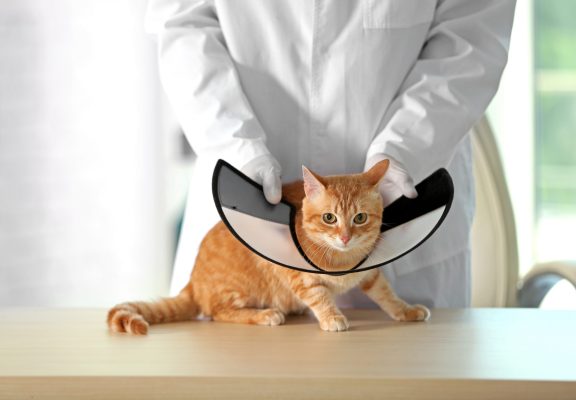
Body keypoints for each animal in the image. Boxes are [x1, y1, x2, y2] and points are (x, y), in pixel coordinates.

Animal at [108, 160, 430, 334]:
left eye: (359, 218)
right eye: (329, 218)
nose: (345, 237)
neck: (343, 259)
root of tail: (193, 282)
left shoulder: (370, 273)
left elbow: (387, 294)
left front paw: (406, 310)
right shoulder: (295, 274)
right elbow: (319, 296)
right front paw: (332, 316)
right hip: (236, 292)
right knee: (219, 312)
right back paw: (266, 314)